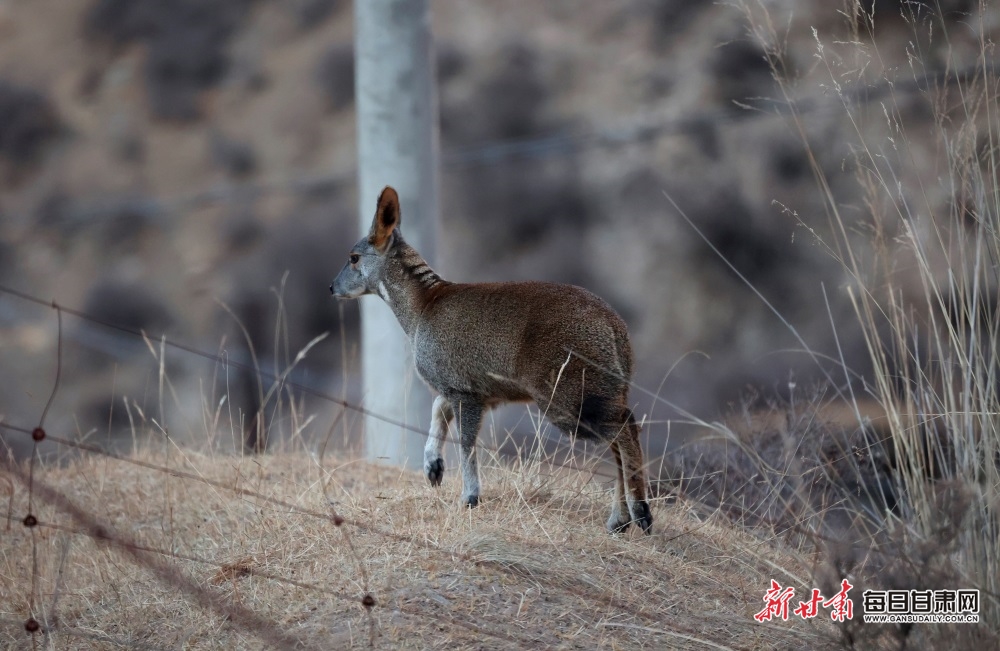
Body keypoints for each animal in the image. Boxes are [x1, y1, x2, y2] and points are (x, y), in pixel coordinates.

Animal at [332, 186, 652, 532]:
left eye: (353, 257)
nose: (332, 287)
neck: (420, 310)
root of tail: (617, 330)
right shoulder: (474, 389)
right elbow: (438, 408)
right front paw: (433, 467)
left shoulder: (463, 389)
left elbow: (467, 443)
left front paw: (469, 497)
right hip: (601, 388)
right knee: (618, 438)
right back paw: (620, 519)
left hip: (567, 391)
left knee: (625, 427)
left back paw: (641, 513)